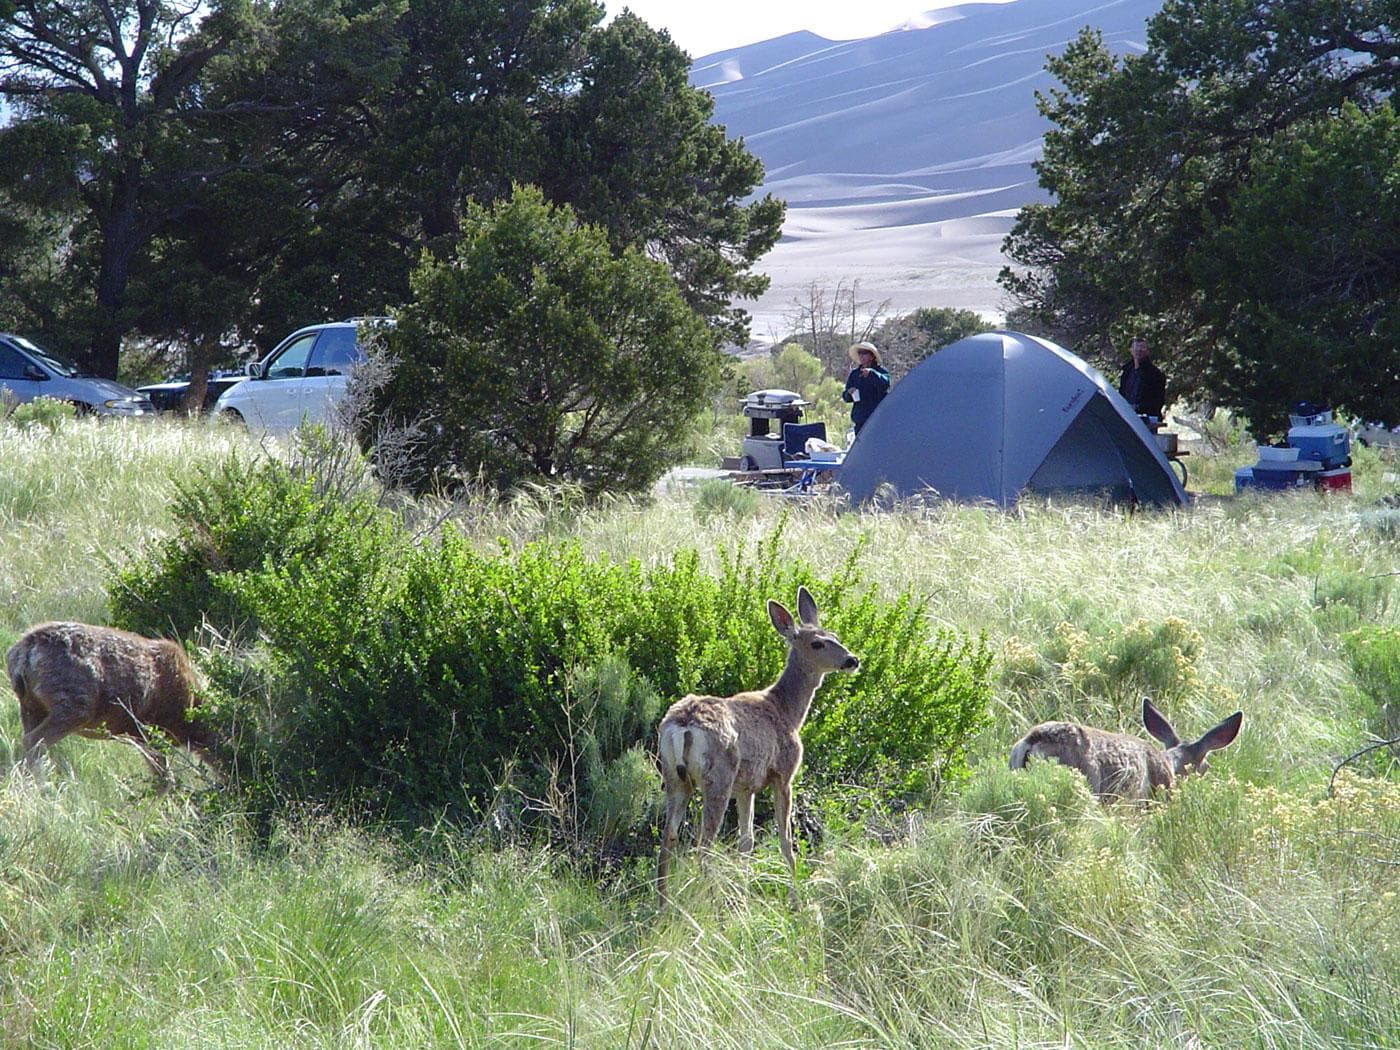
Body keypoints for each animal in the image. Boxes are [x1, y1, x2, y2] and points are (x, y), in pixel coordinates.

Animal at [7, 621, 221, 786]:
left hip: (30, 706)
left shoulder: (139, 735)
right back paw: (43, 787)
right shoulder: (151, 730)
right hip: (73, 704)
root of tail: (22, 654)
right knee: (34, 741)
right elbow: (165, 779)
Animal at [655, 586, 859, 903]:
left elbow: (746, 841)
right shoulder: (783, 775)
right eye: (816, 643)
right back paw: (711, 900)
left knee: (669, 838)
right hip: (718, 778)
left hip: (674, 777)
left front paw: (745, 891)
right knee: (703, 844)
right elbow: (785, 839)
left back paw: (663, 903)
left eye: (835, 635)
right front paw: (795, 894)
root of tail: (685, 725)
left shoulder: (746, 786)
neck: (787, 711)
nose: (852, 660)